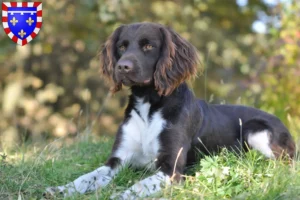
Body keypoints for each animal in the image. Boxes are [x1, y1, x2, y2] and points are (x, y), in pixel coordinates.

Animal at [45, 21, 296, 198]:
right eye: (122, 46)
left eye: (148, 46)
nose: (122, 67)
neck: (149, 105)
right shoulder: (117, 160)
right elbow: (87, 177)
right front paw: (61, 189)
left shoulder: (170, 168)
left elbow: (137, 187)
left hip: (257, 131)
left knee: (286, 165)